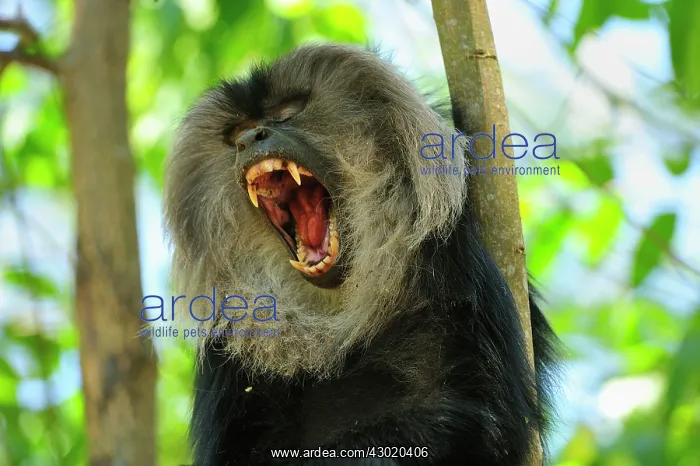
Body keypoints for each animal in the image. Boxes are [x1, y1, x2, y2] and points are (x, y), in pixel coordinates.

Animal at [163, 43, 560, 465]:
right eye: (236, 133)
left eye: (288, 112)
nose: (250, 139)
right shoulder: (227, 348)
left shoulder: (454, 262)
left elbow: (480, 415)